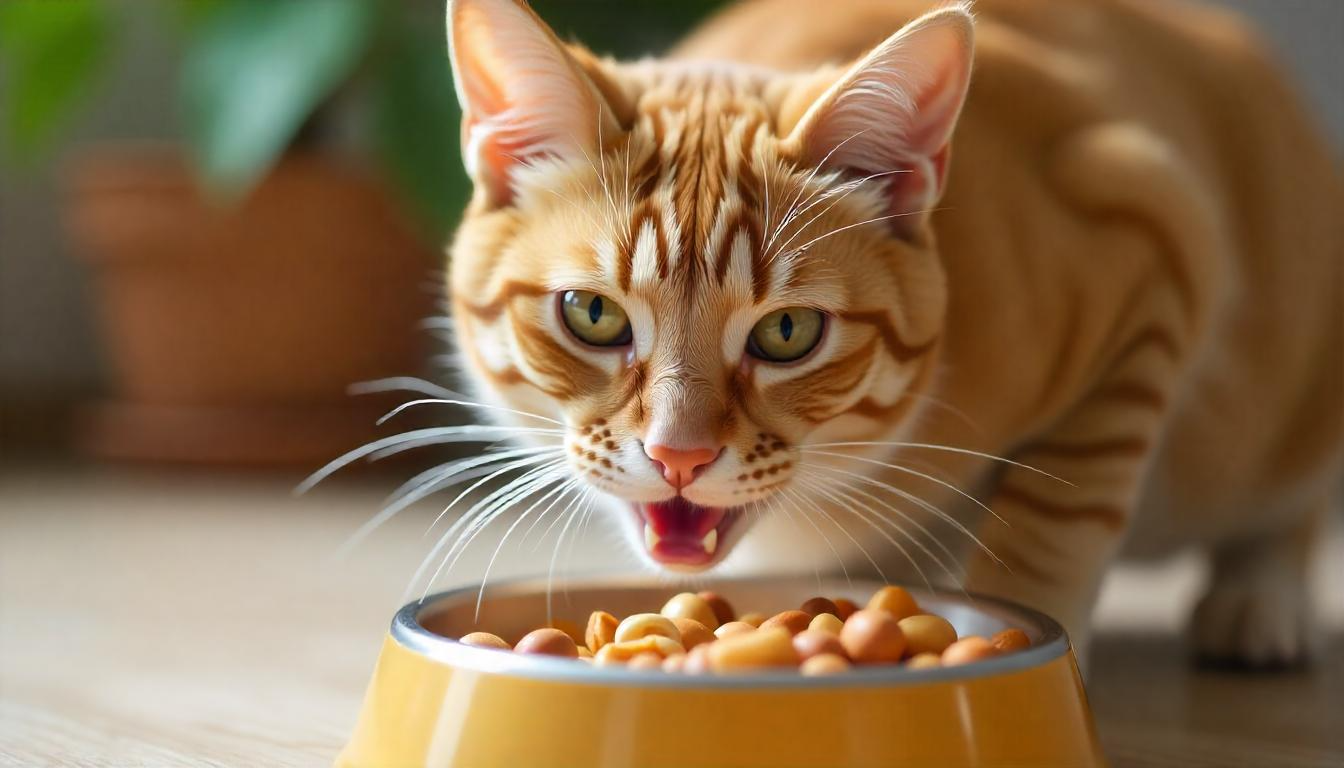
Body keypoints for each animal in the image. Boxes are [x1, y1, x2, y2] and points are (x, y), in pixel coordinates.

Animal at [435, 0, 1338, 667]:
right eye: (595, 316)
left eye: (788, 331)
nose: (678, 456)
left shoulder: (1156, 237)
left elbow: (1054, 524)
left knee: (1287, 503)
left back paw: (1262, 602)